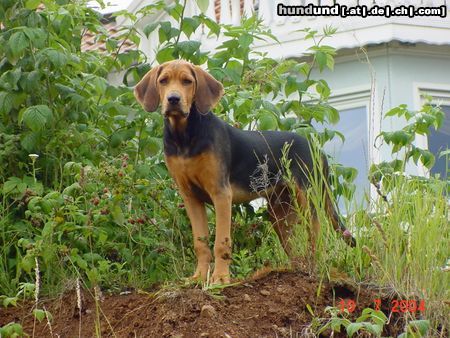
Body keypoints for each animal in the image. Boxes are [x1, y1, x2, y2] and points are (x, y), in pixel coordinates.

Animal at [134, 59, 356, 284]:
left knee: (316, 237)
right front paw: (198, 277)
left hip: (309, 198)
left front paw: (220, 279)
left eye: (187, 81)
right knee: (295, 248)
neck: (184, 137)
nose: (173, 99)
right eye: (163, 81)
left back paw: (316, 271)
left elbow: (221, 242)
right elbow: (200, 243)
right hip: (280, 214)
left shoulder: (221, 193)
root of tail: (317, 148)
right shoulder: (190, 197)